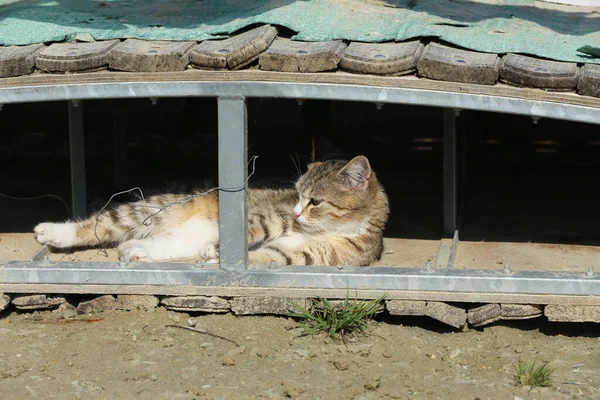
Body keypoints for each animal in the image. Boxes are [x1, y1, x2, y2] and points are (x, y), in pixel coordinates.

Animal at [34, 156, 390, 266]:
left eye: (315, 201)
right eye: (298, 195)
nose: (297, 212)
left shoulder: (302, 255)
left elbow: (268, 257)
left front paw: (217, 257)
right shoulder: (266, 219)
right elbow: (250, 232)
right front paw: (221, 251)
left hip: (178, 239)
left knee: (146, 244)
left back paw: (137, 252)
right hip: (151, 210)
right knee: (97, 225)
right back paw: (52, 231)